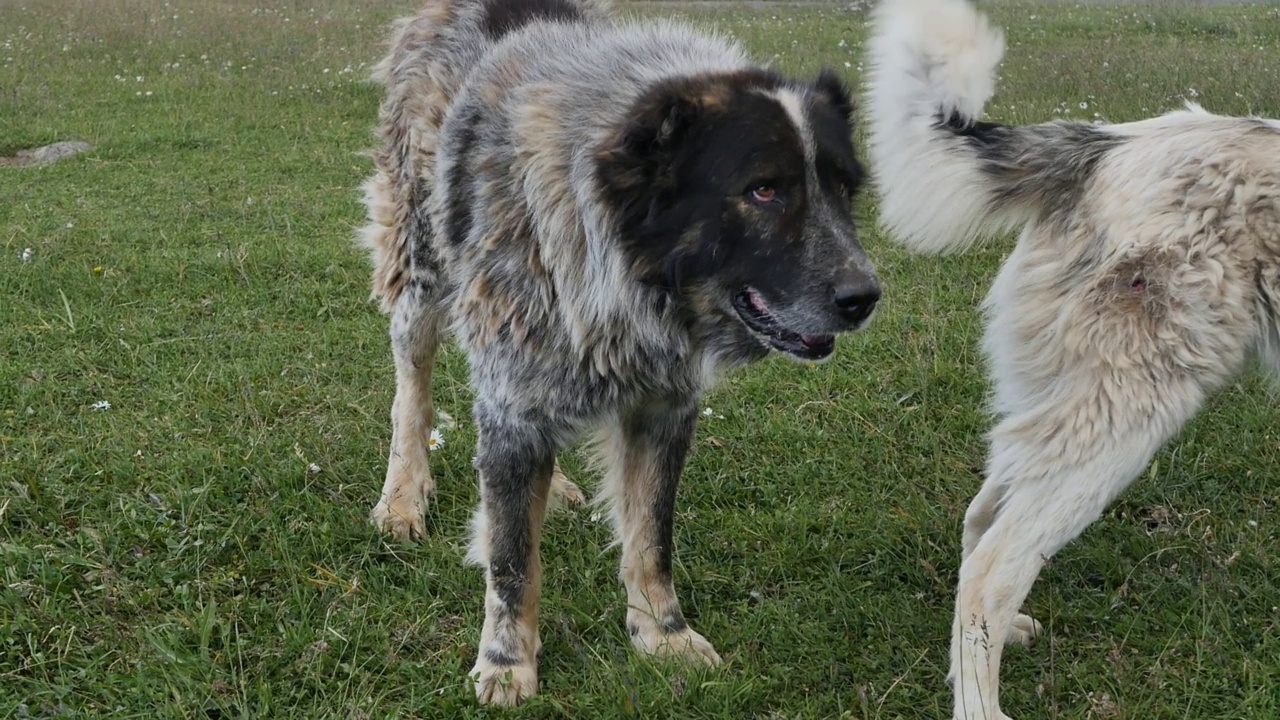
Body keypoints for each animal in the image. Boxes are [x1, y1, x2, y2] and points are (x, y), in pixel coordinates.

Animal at [360, 0, 880, 702]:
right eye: (764, 191)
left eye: (844, 189)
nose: (865, 296)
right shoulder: (515, 393)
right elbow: (511, 558)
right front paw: (506, 661)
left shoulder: (661, 408)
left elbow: (651, 536)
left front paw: (663, 634)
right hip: (422, 271)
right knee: (411, 388)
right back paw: (403, 496)